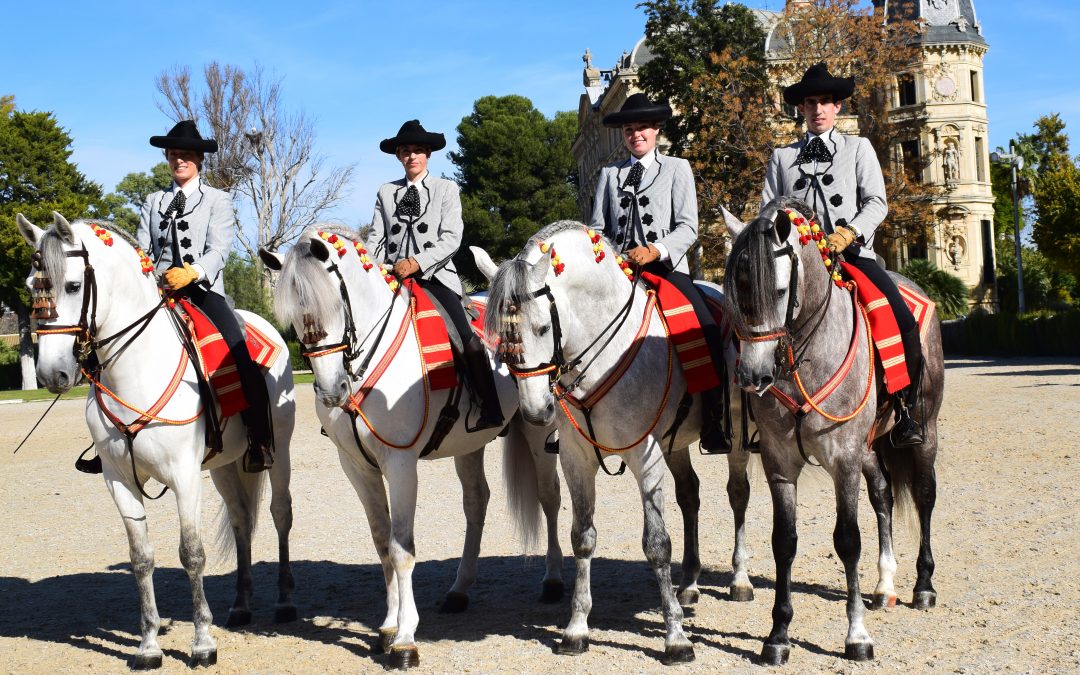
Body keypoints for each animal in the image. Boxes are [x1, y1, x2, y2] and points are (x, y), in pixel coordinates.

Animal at [19, 212, 300, 665]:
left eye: (73, 285)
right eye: (31, 285)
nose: (50, 374)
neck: (136, 370)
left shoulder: (184, 477)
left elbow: (191, 553)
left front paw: (202, 642)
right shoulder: (119, 481)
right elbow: (141, 558)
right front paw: (149, 644)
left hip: (279, 452)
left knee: (280, 514)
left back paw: (284, 601)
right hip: (224, 466)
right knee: (241, 520)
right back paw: (241, 605)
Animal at [263, 226, 565, 669]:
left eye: (333, 303)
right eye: (294, 317)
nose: (332, 390)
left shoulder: (401, 463)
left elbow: (401, 548)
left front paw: (405, 639)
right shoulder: (357, 467)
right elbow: (381, 542)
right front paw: (388, 627)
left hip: (538, 429)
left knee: (549, 498)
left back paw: (553, 580)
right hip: (469, 445)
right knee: (477, 502)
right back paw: (459, 590)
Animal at [481, 221, 760, 665]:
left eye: (542, 328)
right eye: (501, 337)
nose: (537, 412)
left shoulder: (645, 456)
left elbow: (657, 544)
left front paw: (676, 638)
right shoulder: (576, 460)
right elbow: (583, 538)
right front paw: (577, 628)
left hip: (733, 436)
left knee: (738, 495)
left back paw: (740, 579)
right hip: (675, 445)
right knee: (690, 495)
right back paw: (689, 584)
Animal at [725, 197, 946, 665]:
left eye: (779, 291)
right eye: (735, 293)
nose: (752, 376)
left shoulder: (843, 459)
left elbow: (847, 540)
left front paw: (856, 636)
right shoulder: (779, 462)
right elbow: (784, 541)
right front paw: (778, 635)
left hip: (926, 430)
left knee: (923, 496)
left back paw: (923, 586)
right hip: (869, 447)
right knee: (883, 494)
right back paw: (884, 585)